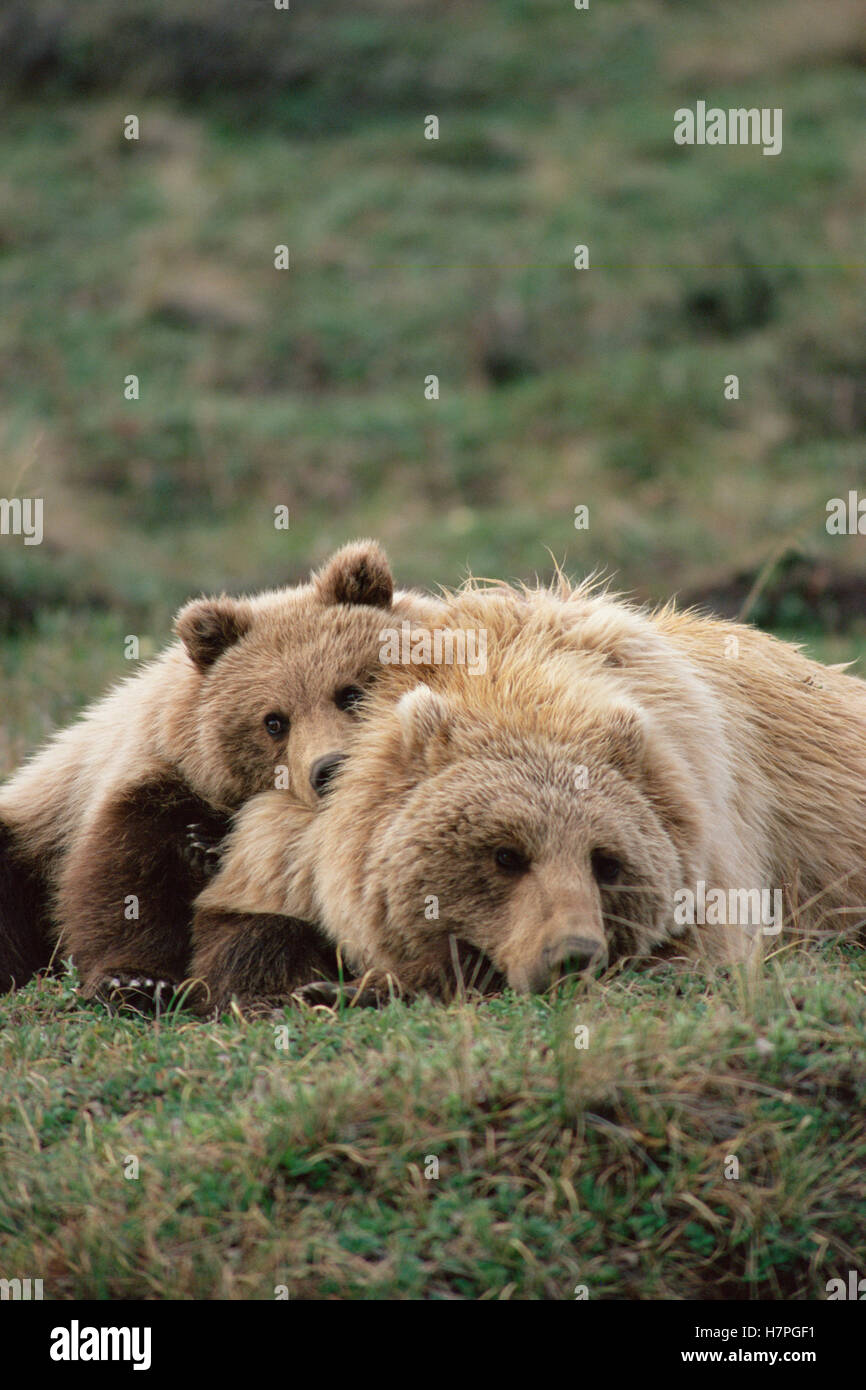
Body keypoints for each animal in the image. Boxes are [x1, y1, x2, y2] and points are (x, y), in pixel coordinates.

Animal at [0, 540, 440, 1009]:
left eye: (350, 693)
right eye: (273, 722)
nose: (327, 769)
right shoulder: (156, 781)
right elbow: (125, 883)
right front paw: (135, 979)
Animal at [192, 575, 866, 1003]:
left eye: (606, 861)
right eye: (504, 854)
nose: (571, 953)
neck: (517, 686)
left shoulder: (705, 828)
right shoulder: (298, 840)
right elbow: (241, 927)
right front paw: (328, 984)